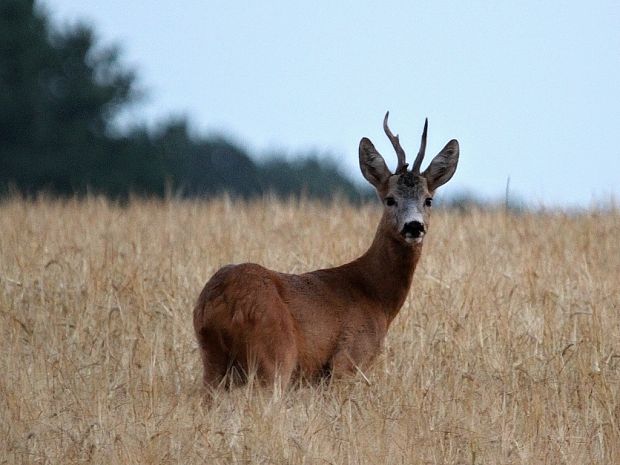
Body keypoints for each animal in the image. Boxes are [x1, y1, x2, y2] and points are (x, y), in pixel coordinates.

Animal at [195, 112, 460, 388]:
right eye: (390, 199)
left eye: (428, 200)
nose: (414, 226)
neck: (376, 297)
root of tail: (220, 300)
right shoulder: (348, 359)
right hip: (273, 354)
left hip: (213, 361)